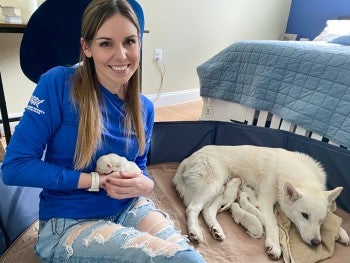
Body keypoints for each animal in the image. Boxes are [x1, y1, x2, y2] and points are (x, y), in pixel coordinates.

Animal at [173, 145, 350, 260]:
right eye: (305, 215)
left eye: (321, 221)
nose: (316, 243)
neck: (300, 176)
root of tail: (186, 160)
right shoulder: (265, 203)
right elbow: (274, 226)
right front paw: (274, 245)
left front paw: (341, 232)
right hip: (213, 186)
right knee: (193, 208)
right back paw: (195, 232)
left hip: (221, 191)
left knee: (207, 211)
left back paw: (216, 230)